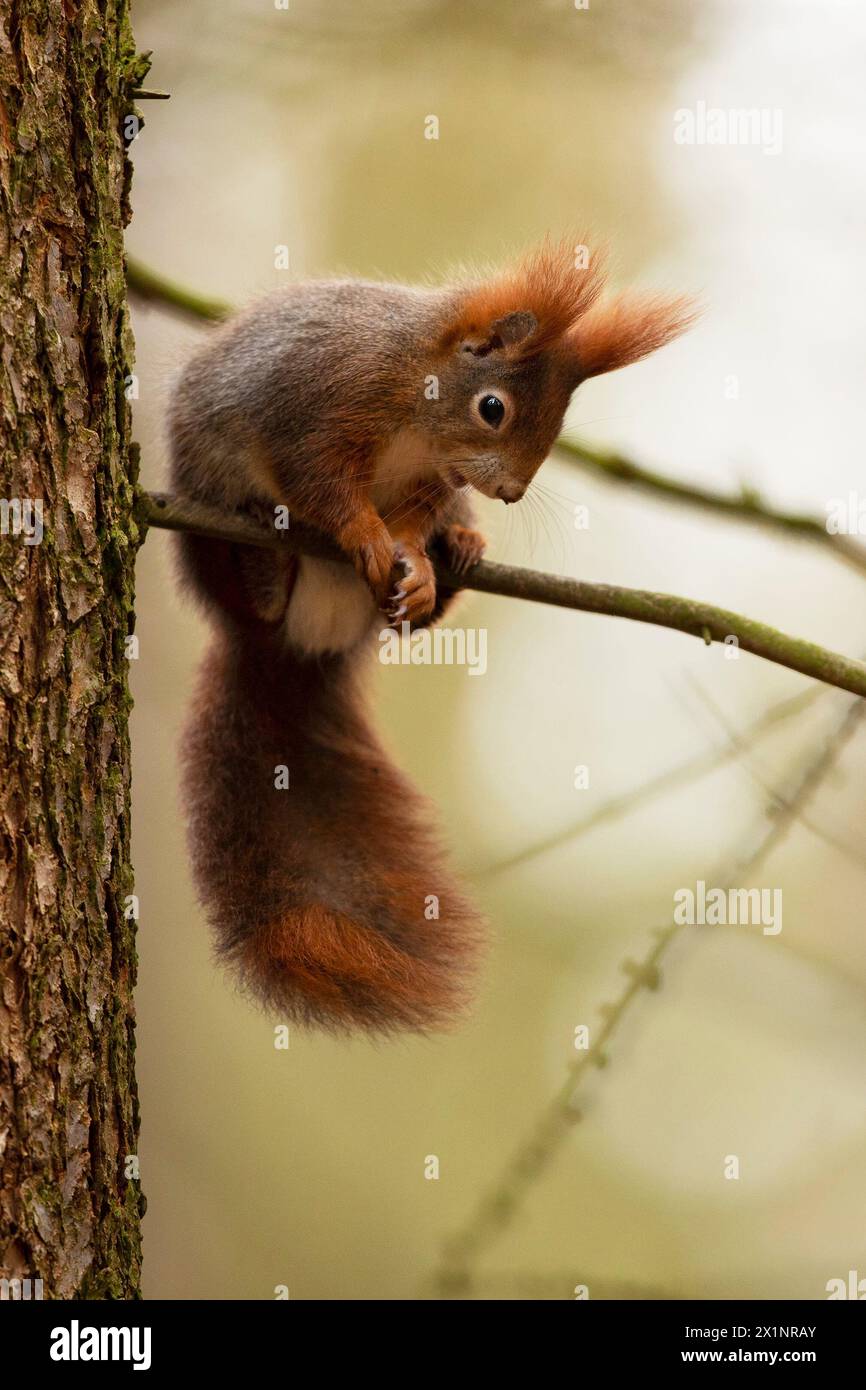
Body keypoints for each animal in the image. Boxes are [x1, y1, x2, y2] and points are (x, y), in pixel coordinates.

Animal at [167, 239, 693, 1034]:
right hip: (203, 509)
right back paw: (263, 570)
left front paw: (415, 565)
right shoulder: (317, 409)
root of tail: (299, 647)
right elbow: (323, 486)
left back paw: (458, 558)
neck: (417, 398)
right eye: (493, 408)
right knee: (243, 594)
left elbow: (416, 520)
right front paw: (363, 535)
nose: (509, 492)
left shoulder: (433, 484)